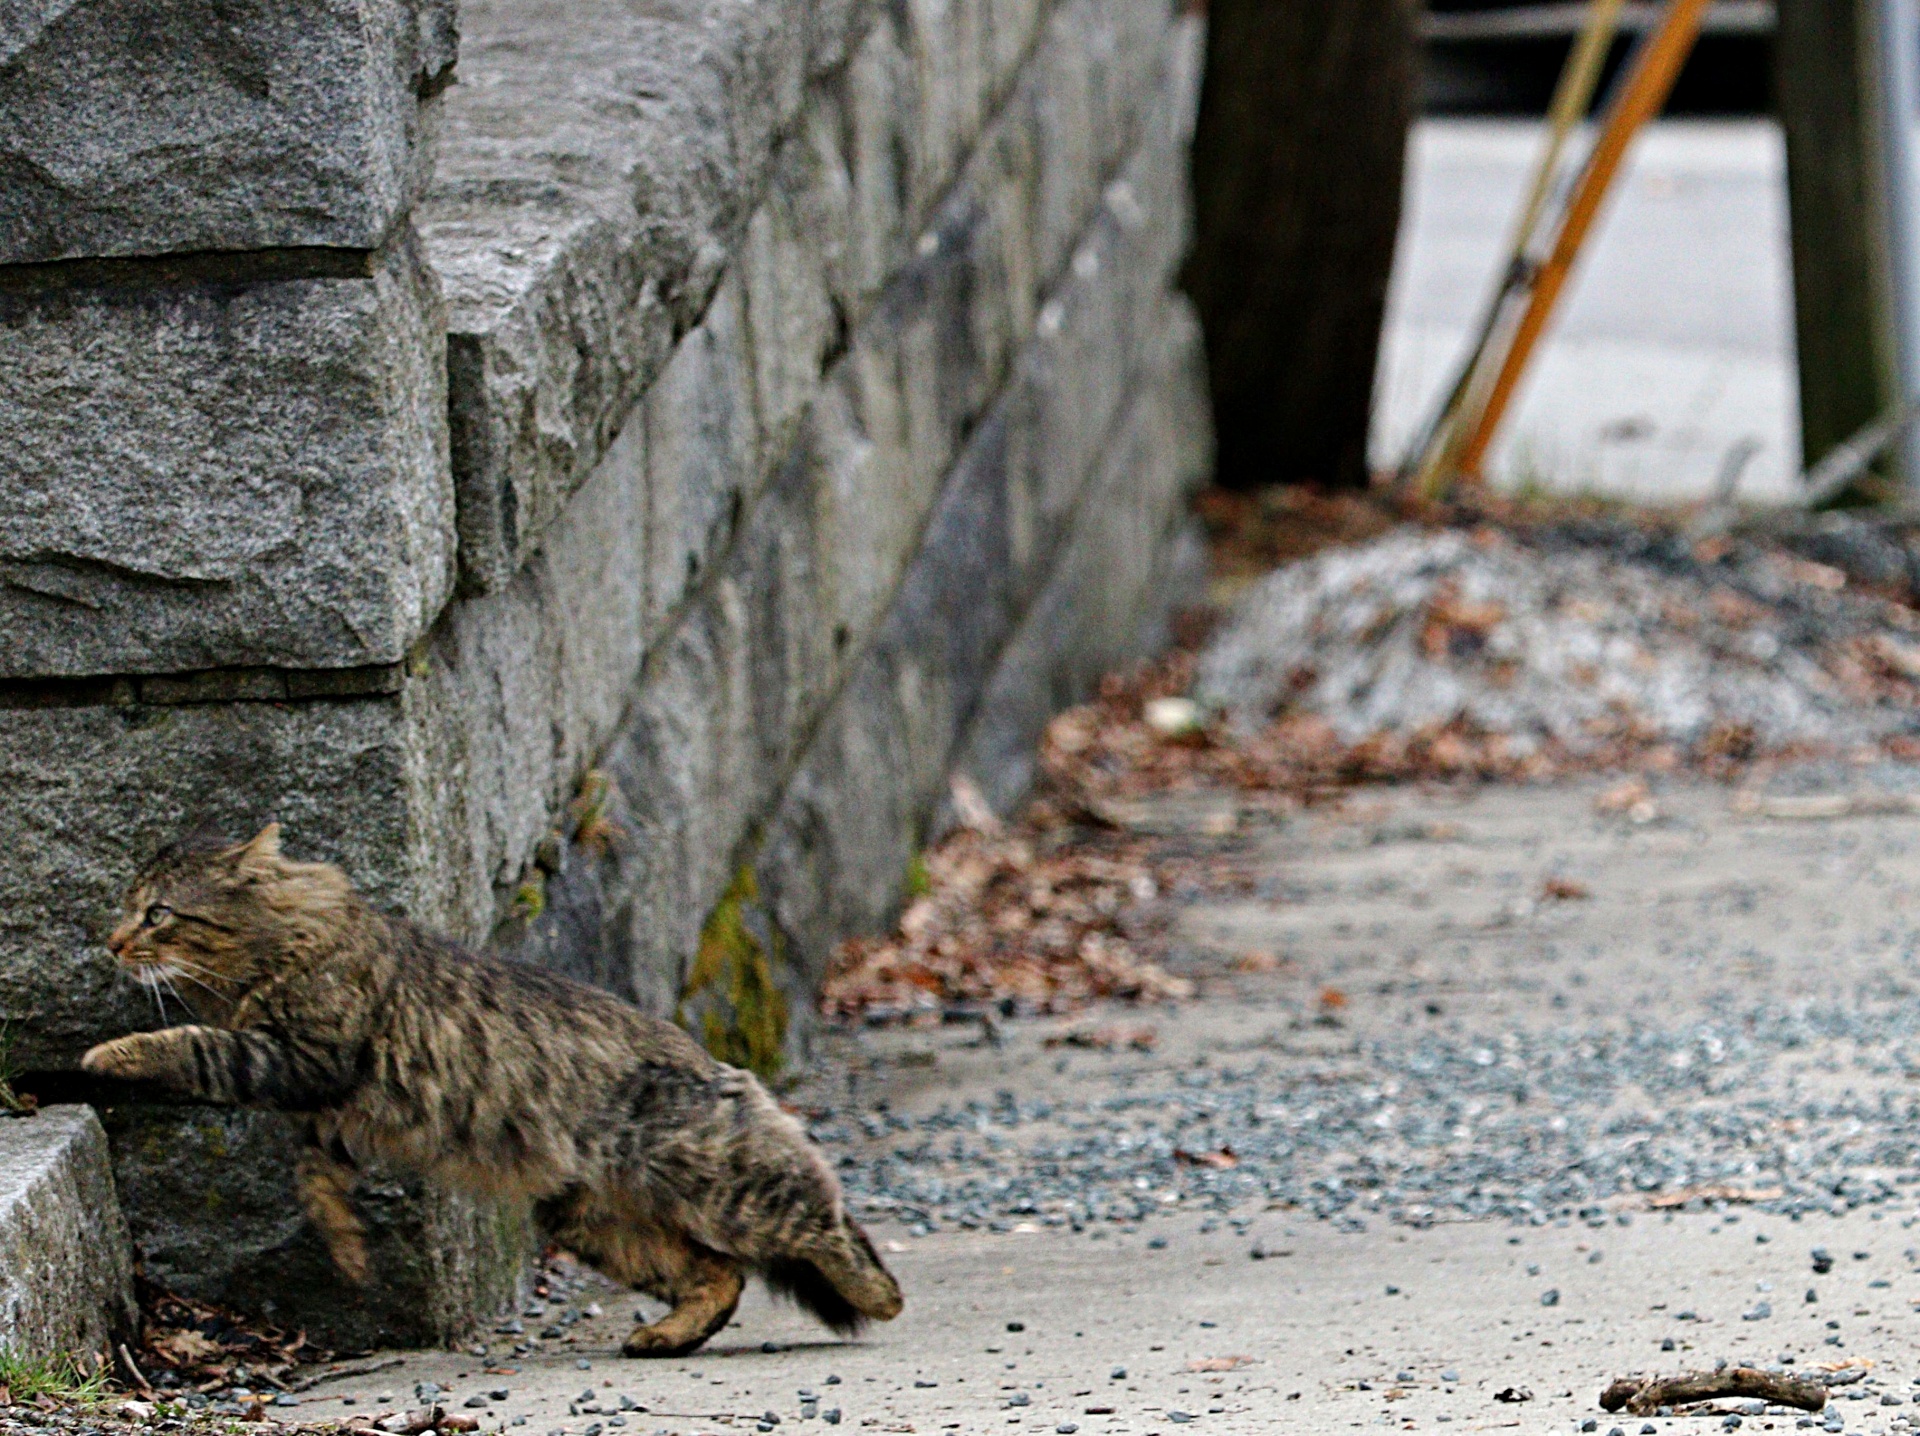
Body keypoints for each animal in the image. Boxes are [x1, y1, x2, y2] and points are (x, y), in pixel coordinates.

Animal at [78, 825, 902, 1351]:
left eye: (156, 913)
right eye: (125, 907)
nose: (112, 943)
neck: (282, 941)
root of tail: (710, 1062)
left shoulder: (299, 1059)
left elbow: (192, 1044)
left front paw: (110, 1053)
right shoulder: (320, 1115)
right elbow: (317, 1185)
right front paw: (348, 1251)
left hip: (719, 1183)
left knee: (815, 1213)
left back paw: (878, 1294)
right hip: (589, 1217)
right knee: (719, 1277)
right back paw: (666, 1337)